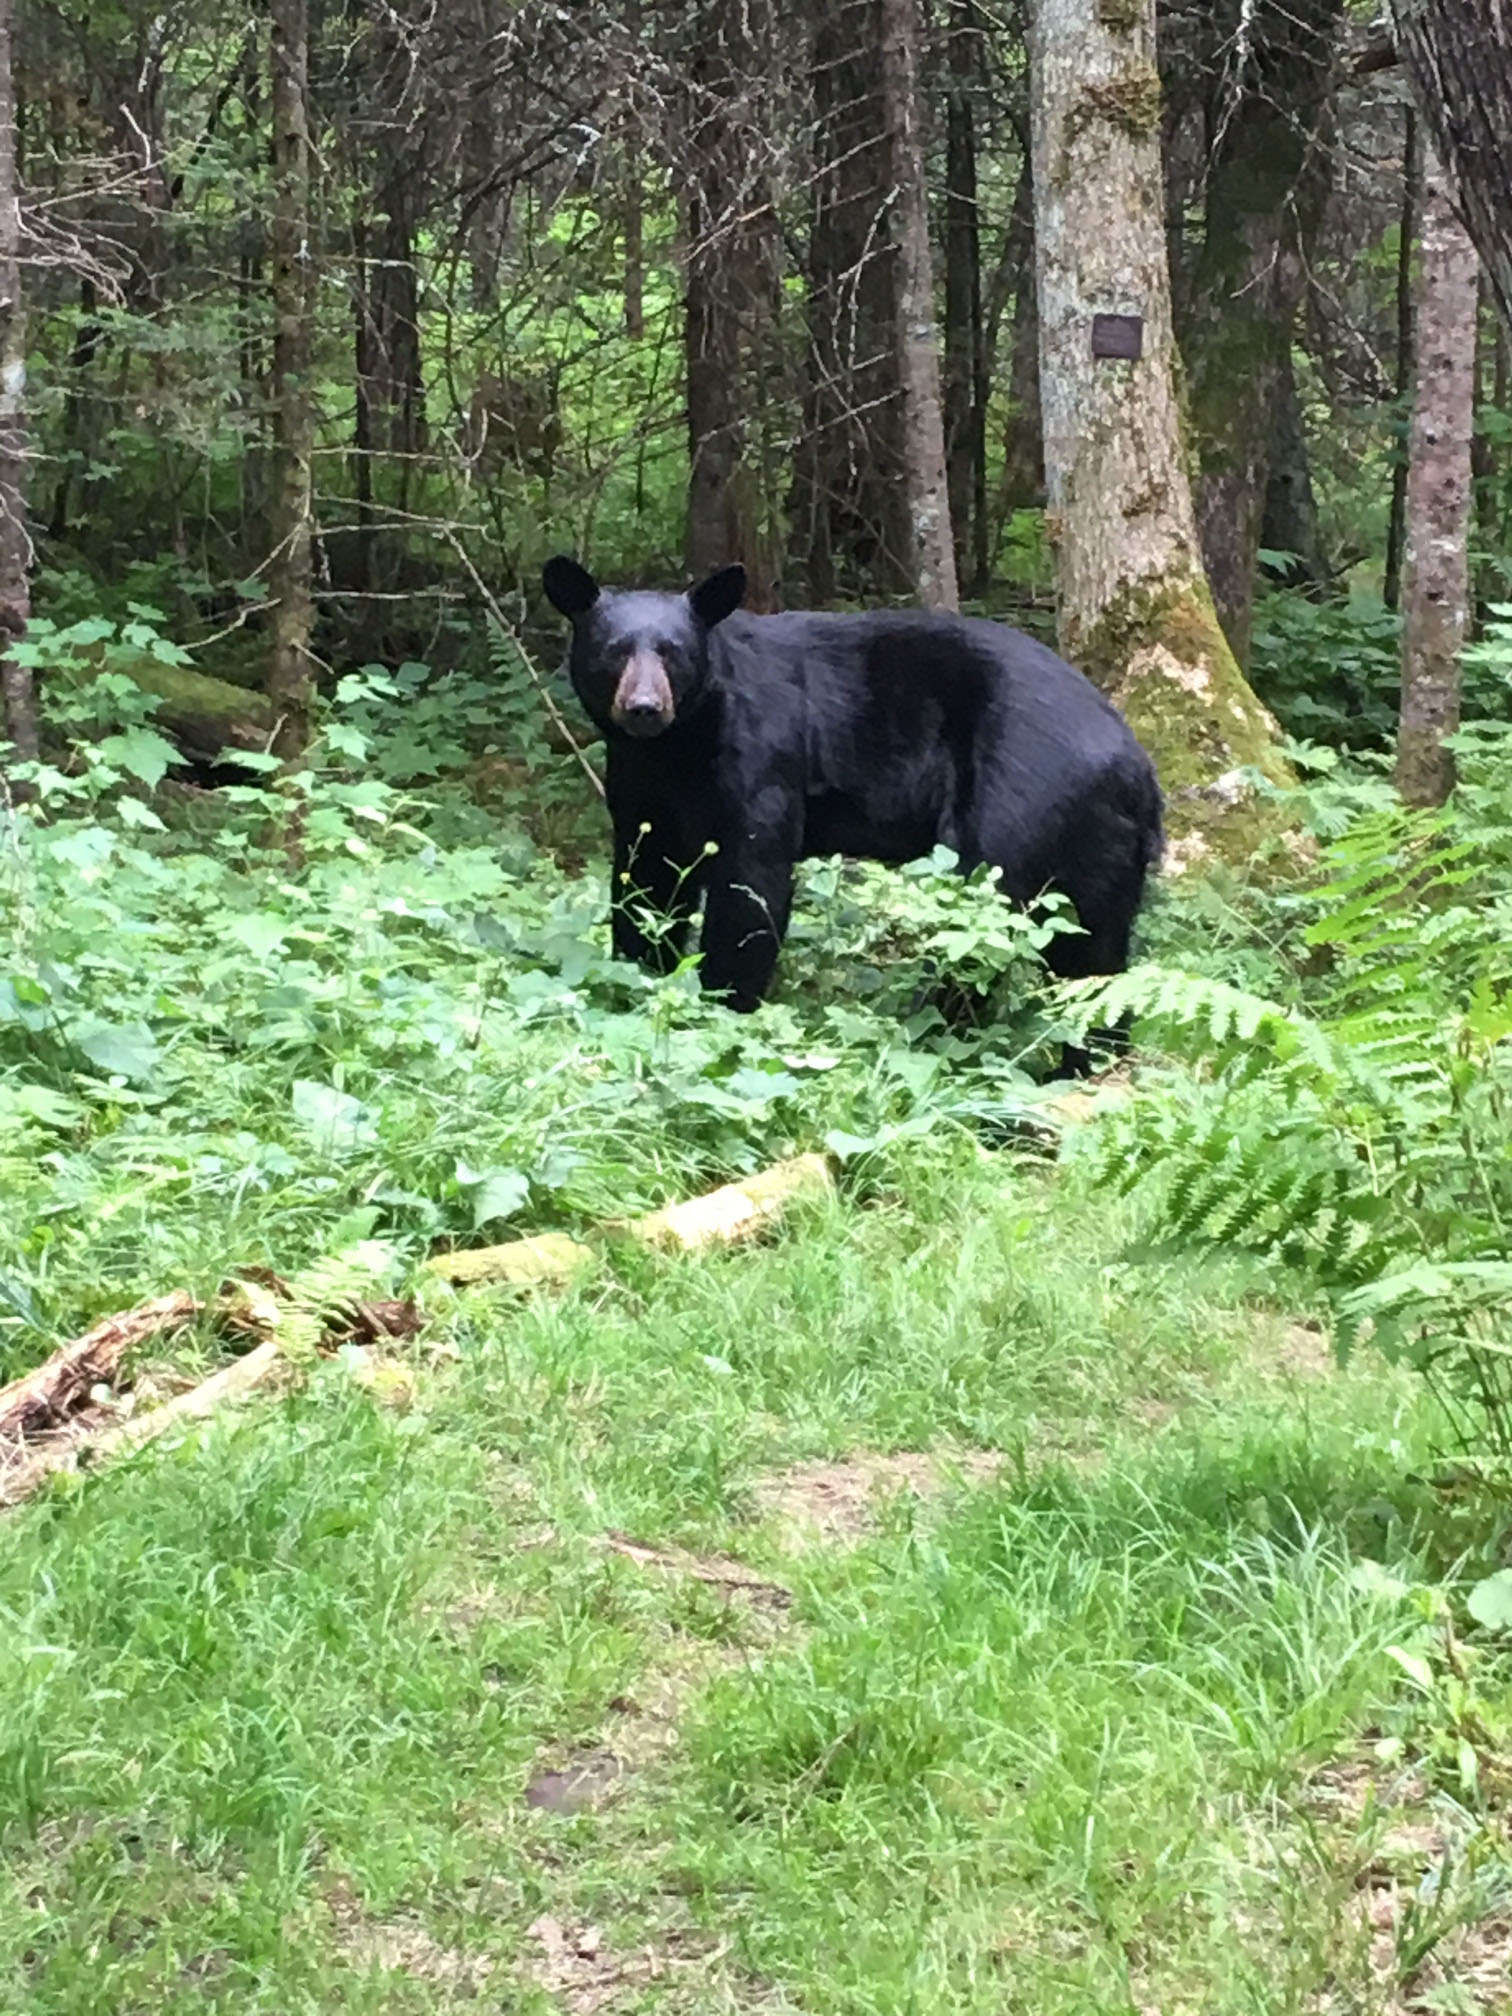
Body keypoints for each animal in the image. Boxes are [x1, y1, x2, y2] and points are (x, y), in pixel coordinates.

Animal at [541, 554, 1163, 1067]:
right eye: (615, 651)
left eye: (673, 653)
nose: (644, 707)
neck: (678, 748)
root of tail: (1138, 767)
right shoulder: (643, 791)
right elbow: (646, 885)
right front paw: (639, 978)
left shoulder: (760, 762)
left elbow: (750, 891)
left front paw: (722, 1009)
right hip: (1098, 845)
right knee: (1098, 956)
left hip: (1024, 800)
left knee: (993, 919)